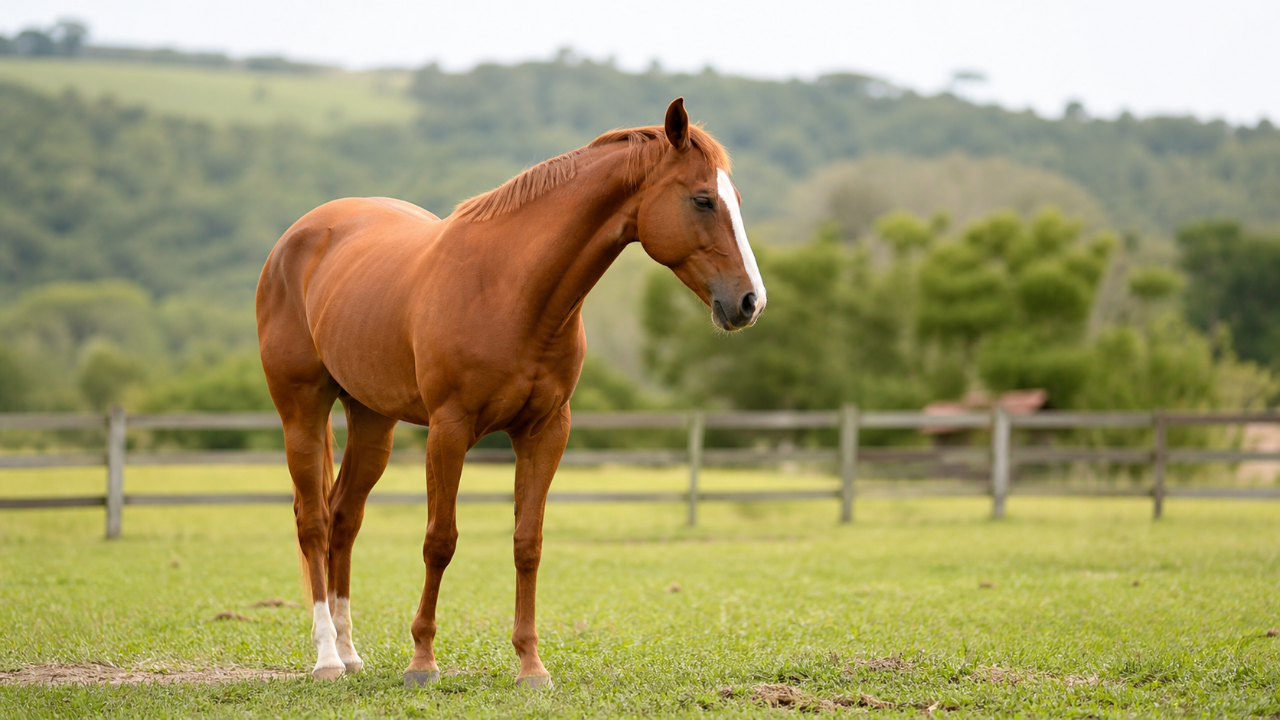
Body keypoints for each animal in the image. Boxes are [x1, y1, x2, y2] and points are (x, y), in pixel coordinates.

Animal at [255, 97, 766, 688]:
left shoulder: (545, 432)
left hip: (372, 421)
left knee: (344, 518)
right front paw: (422, 662)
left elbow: (528, 543)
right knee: (313, 521)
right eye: (703, 199)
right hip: (303, 410)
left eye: (734, 201)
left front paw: (531, 666)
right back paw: (327, 658)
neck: (509, 289)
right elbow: (440, 541)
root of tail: (298, 236)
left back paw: (350, 650)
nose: (751, 301)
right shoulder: (449, 430)